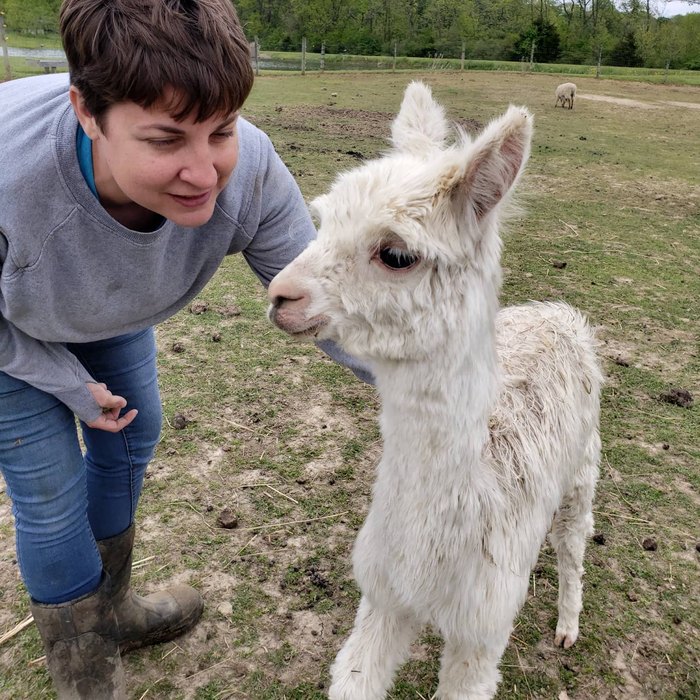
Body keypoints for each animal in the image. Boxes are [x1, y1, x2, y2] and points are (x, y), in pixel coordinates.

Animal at [266, 83, 600, 700]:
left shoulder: (480, 632)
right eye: (321, 220)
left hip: (583, 466)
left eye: (396, 253)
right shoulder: (383, 597)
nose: (281, 295)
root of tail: (556, 311)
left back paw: (568, 625)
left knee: (572, 543)